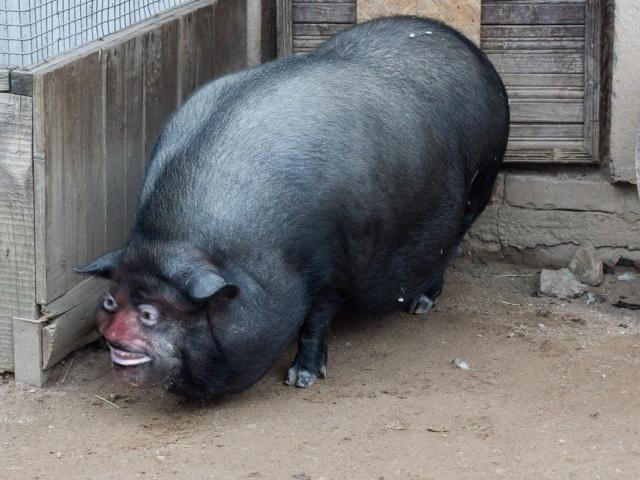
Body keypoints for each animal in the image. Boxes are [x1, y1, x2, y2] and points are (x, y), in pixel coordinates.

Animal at [76, 16, 509, 399]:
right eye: (112, 299)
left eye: (152, 313)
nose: (113, 334)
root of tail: (468, 47)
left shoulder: (335, 273)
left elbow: (314, 323)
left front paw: (300, 380)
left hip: (482, 182)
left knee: (451, 246)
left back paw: (421, 305)